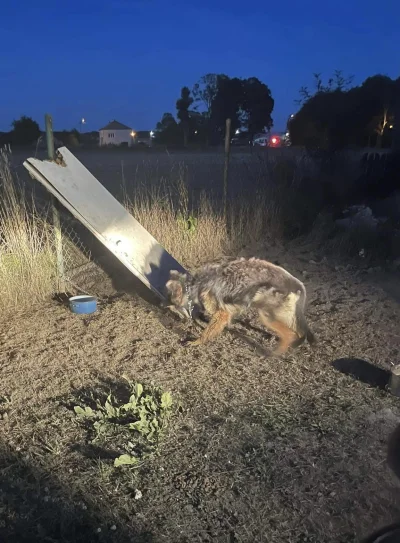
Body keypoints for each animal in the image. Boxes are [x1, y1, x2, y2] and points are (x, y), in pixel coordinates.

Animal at [165, 258, 316, 354]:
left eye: (176, 308)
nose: (178, 320)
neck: (195, 285)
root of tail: (298, 285)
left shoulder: (221, 312)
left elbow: (208, 330)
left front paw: (197, 341)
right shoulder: (229, 309)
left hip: (267, 314)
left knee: (291, 334)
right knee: (299, 332)